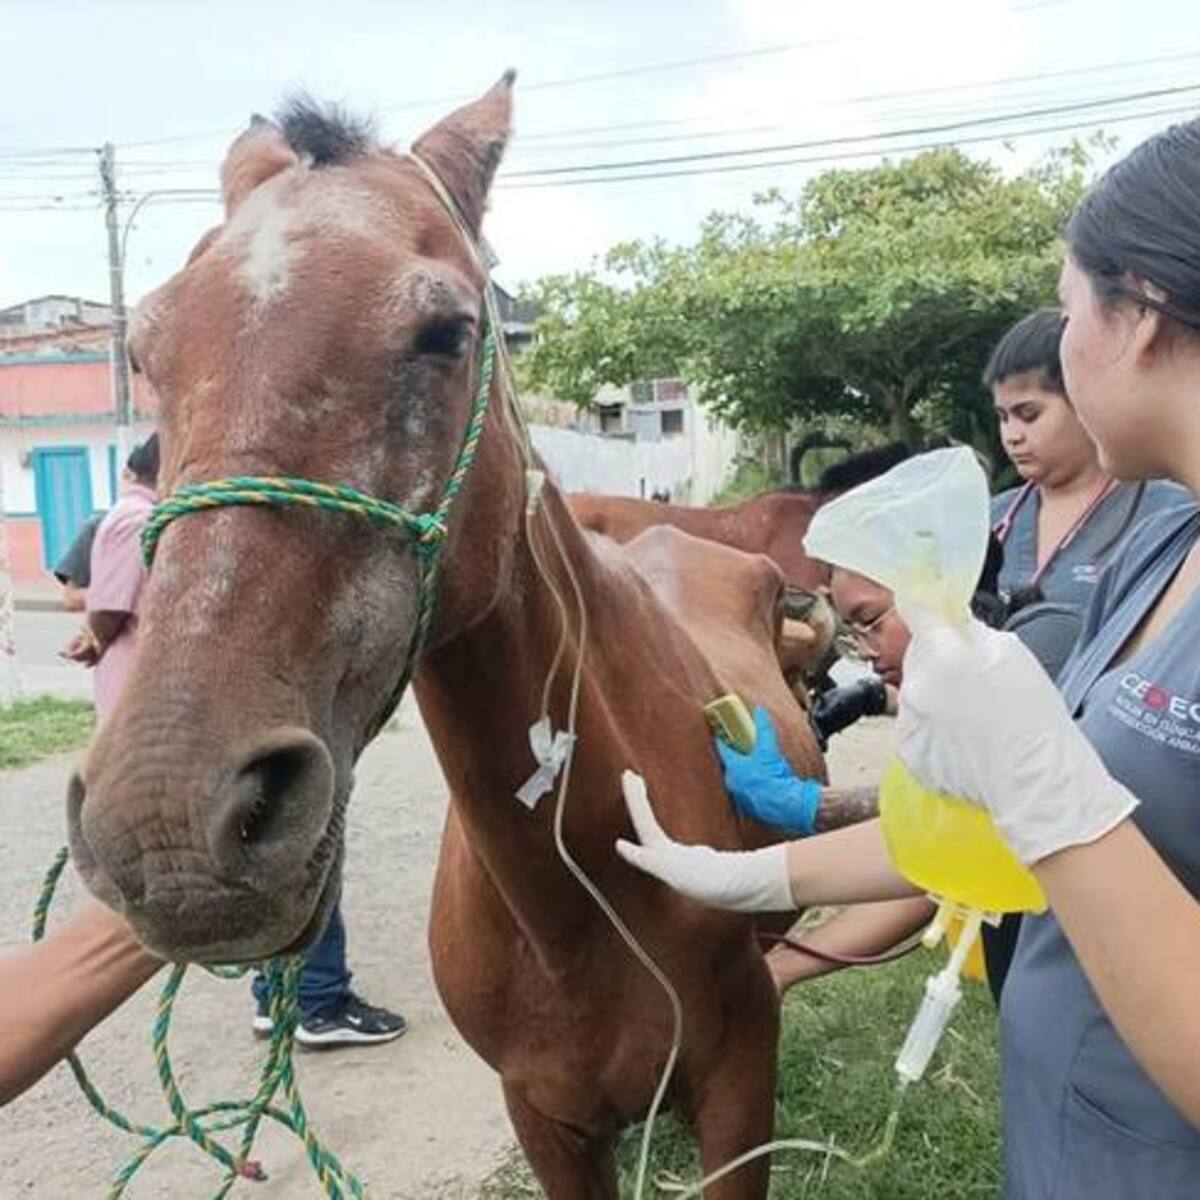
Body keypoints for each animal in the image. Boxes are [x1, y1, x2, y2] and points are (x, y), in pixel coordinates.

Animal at [66, 77, 836, 1197]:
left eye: (446, 331)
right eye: (144, 349)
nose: (168, 826)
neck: (573, 910)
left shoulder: (741, 1089)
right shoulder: (545, 1117)